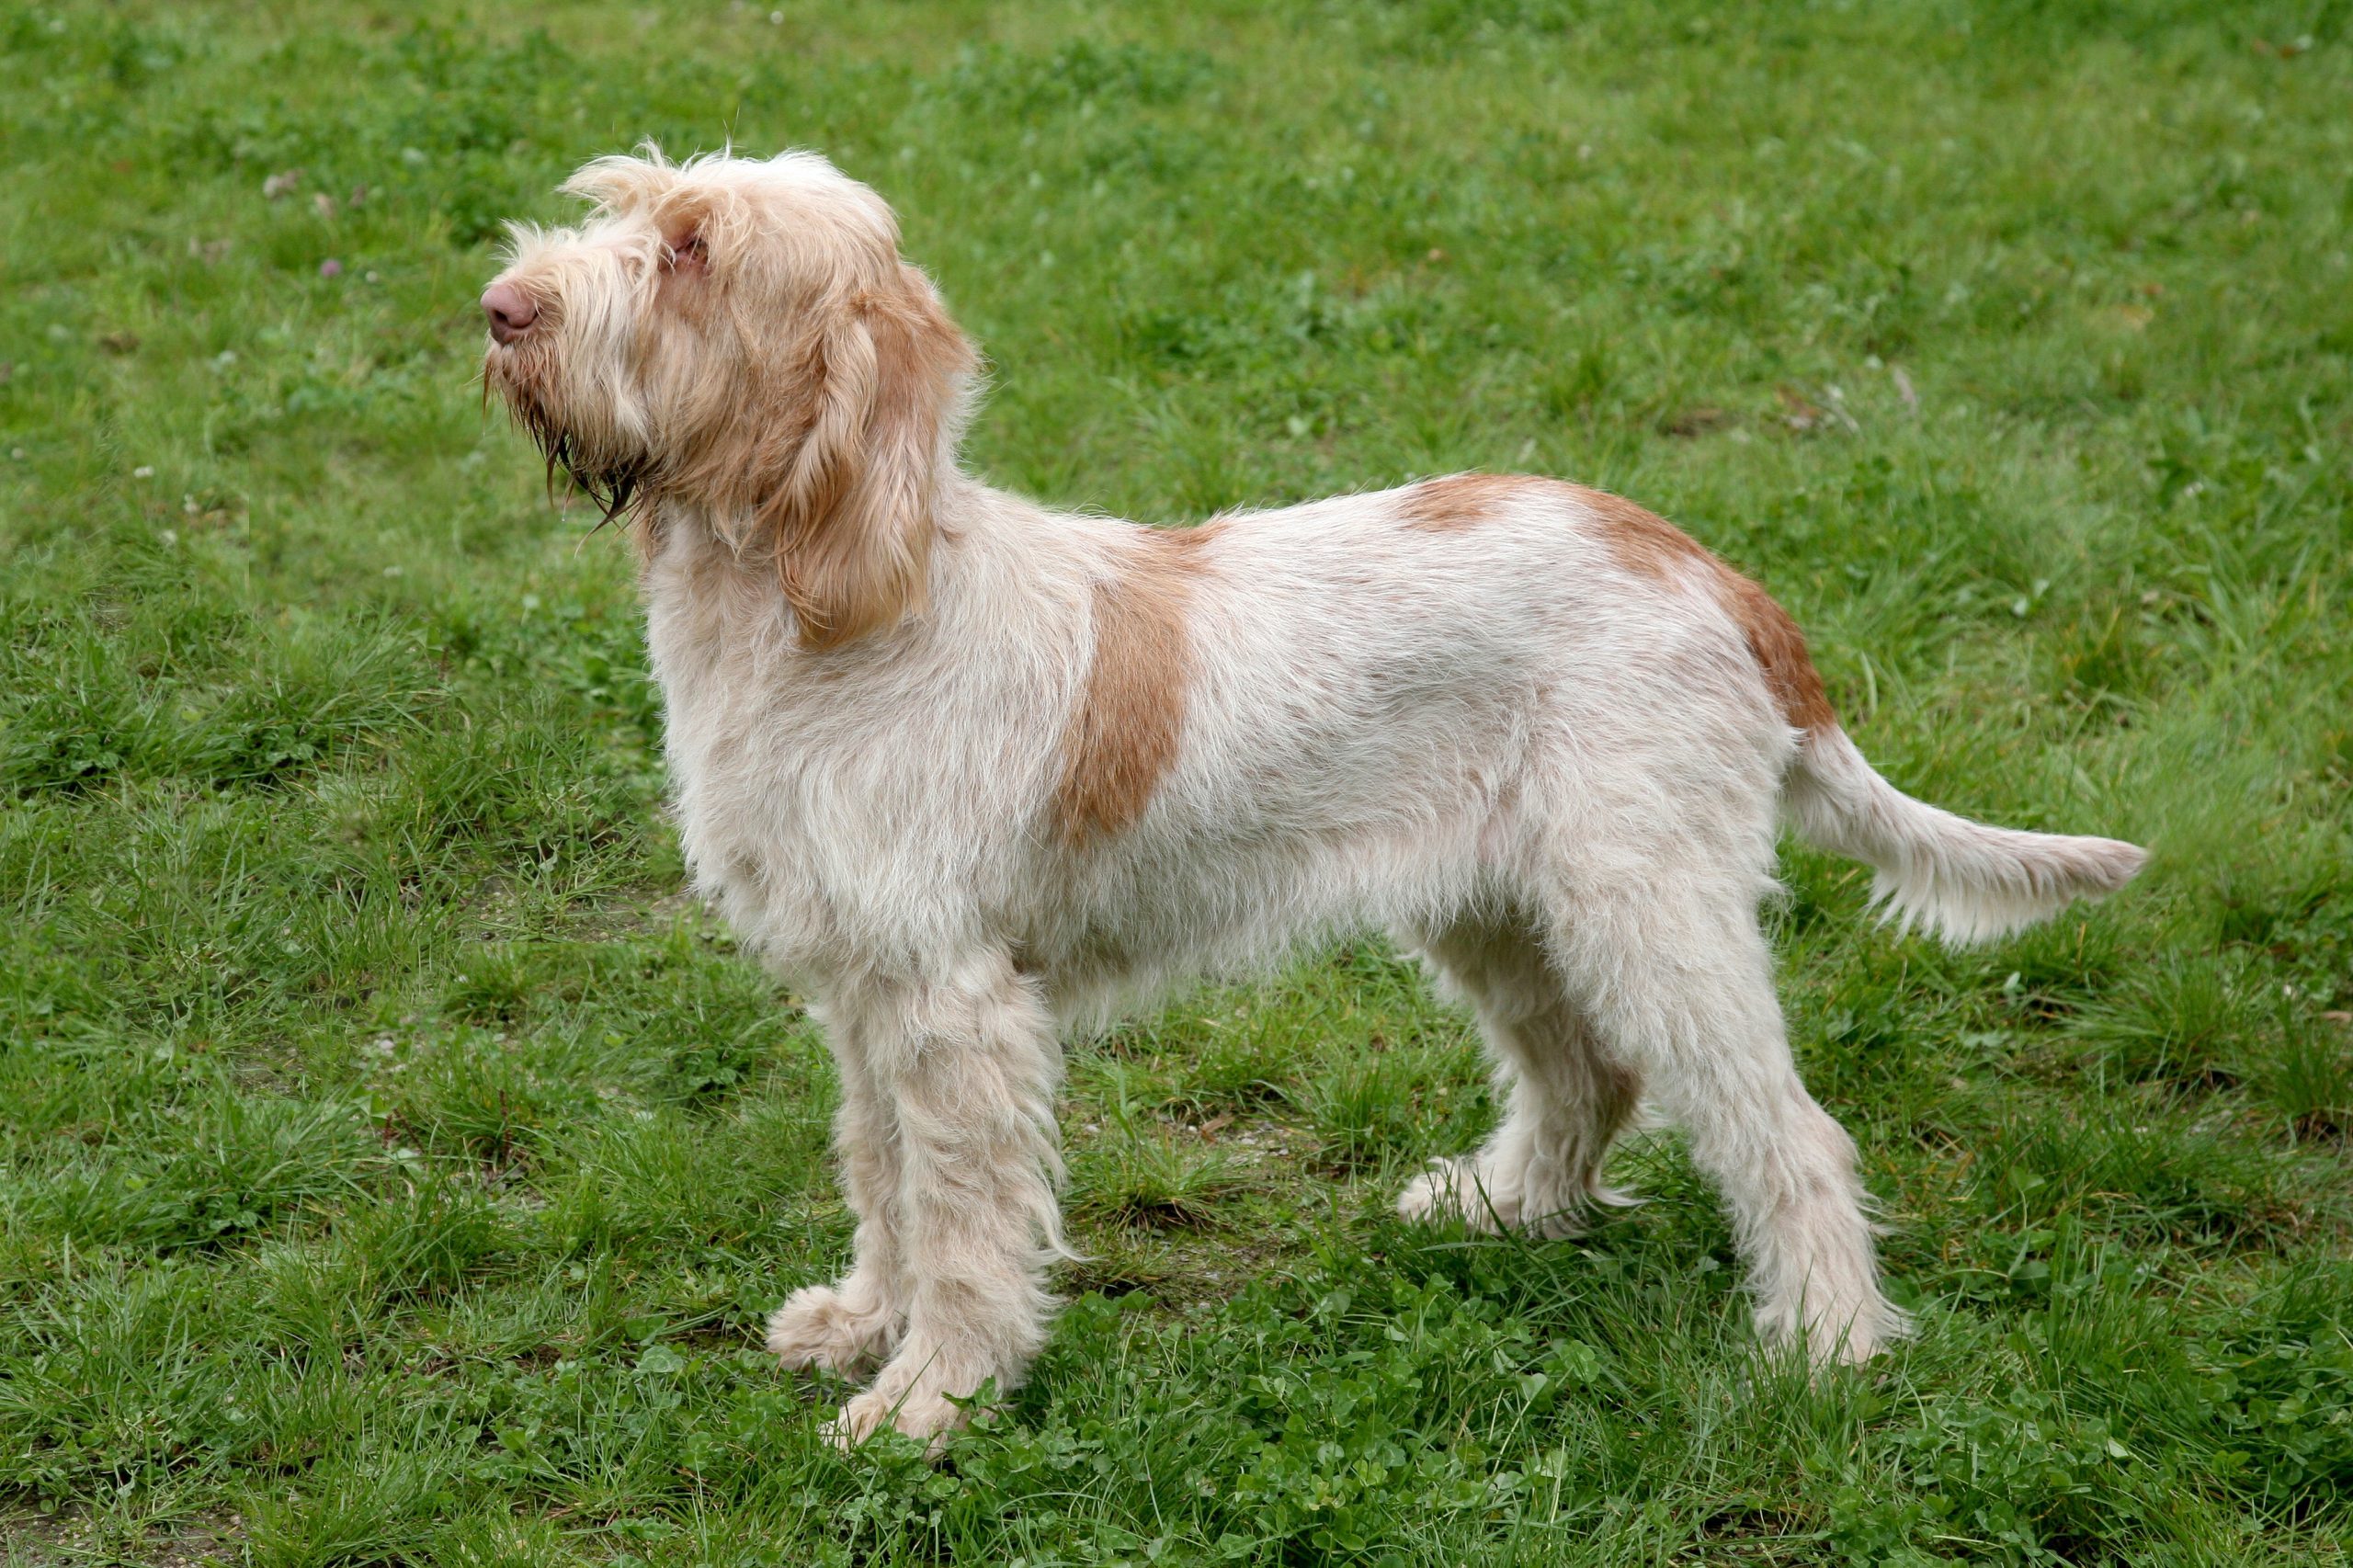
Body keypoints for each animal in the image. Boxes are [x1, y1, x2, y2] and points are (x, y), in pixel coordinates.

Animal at [477, 143, 2154, 1440]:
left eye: (693, 251)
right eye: (627, 211)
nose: (501, 308)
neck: (828, 614)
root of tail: (1711, 570)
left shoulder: (953, 1006)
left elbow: (962, 1223)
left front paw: (930, 1400)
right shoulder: (864, 992)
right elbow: (883, 1179)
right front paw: (861, 1323)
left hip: (1651, 911)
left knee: (1785, 1134)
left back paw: (1826, 1346)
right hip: (1498, 907)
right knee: (1586, 1075)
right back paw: (1504, 1207)